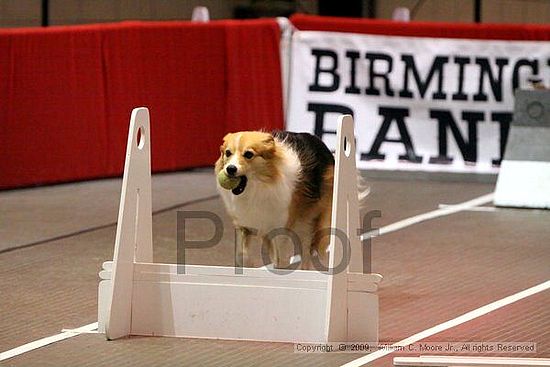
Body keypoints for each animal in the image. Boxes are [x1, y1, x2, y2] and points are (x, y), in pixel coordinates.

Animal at [217, 131, 366, 268]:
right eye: (228, 153)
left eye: (248, 154)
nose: (230, 169)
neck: (258, 186)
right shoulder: (247, 224)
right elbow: (242, 253)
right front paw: (248, 265)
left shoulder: (280, 228)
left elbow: (281, 257)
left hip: (311, 223)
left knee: (308, 251)